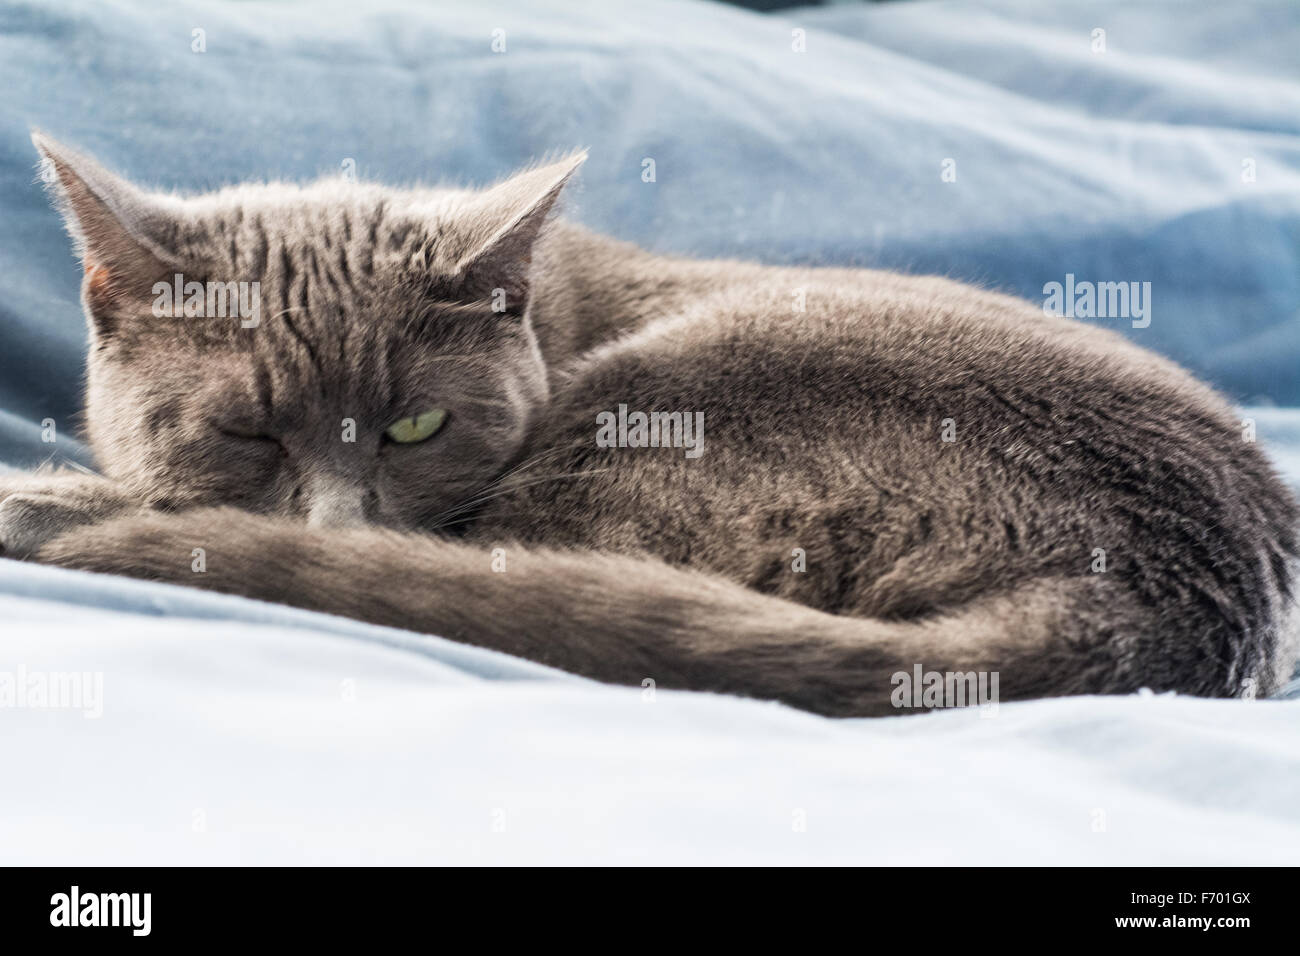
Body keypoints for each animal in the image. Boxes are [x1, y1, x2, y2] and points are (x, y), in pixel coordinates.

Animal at [0, 132, 1294, 717]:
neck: (557, 304)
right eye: (250, 435)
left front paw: (57, 493)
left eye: (417, 426)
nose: (338, 518)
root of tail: (1171, 596)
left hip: (670, 396)